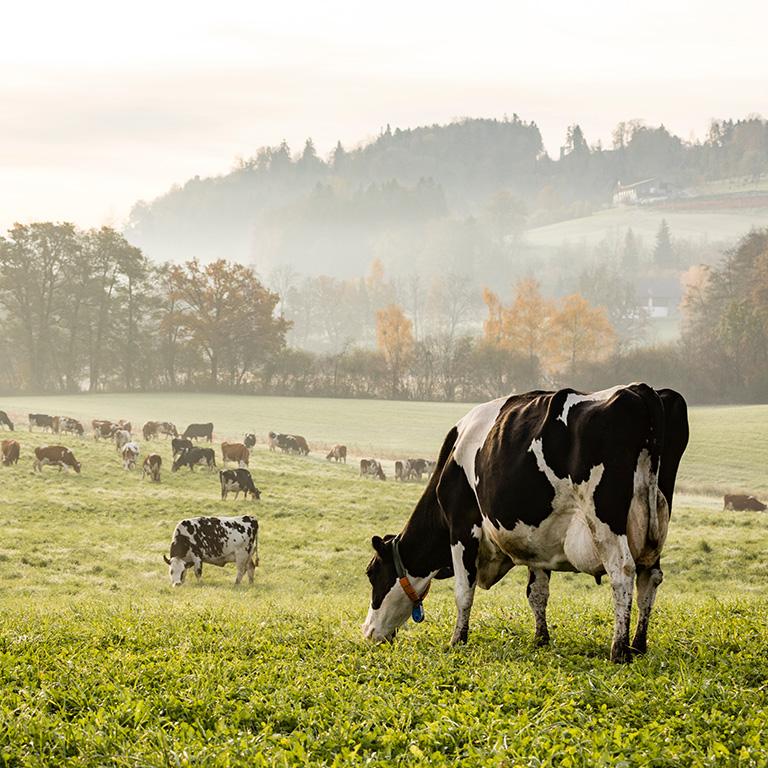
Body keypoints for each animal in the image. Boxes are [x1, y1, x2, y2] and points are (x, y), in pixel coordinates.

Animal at [363, 385, 689, 664]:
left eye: (371, 573)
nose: (368, 632)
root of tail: (640, 390)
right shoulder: (538, 541)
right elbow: (537, 593)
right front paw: (541, 639)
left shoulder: (462, 527)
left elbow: (463, 591)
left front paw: (457, 640)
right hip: (655, 523)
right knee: (650, 577)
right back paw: (638, 645)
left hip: (605, 519)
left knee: (622, 573)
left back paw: (619, 650)